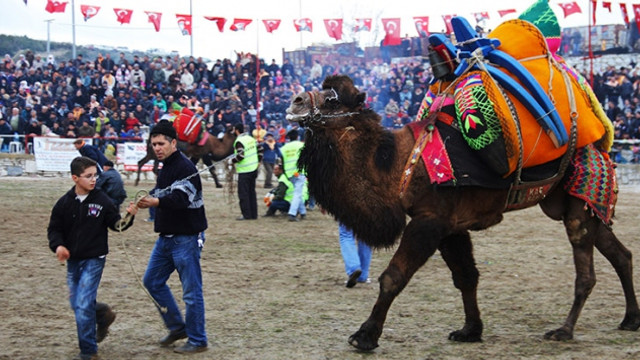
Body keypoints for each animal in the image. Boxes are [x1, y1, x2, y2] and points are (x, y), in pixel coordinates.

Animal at [286, 15, 640, 350]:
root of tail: (600, 137)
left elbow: (393, 277)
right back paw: (630, 319)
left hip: (581, 192)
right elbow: (466, 276)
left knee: (586, 271)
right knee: (620, 253)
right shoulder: (450, 225)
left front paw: (365, 336)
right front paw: (470, 330)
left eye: (333, 99)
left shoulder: (430, 220)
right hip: (569, 201)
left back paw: (564, 330)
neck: (398, 162)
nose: (295, 101)